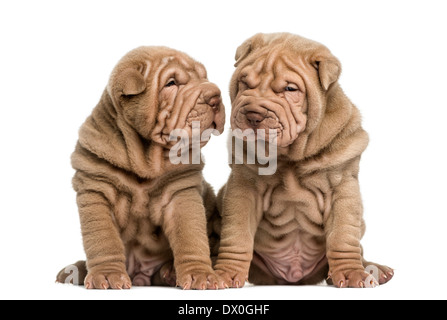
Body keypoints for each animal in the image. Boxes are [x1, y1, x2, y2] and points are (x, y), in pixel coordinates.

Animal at [57, 47, 226, 290]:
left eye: (204, 77)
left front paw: (200, 275)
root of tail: (140, 275)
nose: (216, 96)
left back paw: (170, 272)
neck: (144, 159)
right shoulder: (96, 190)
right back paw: (75, 270)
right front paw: (107, 275)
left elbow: (191, 237)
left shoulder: (181, 193)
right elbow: (103, 240)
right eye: (171, 83)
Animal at [215, 33, 394, 288]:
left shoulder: (343, 188)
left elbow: (343, 235)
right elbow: (237, 234)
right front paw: (226, 273)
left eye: (290, 89)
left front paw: (351, 273)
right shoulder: (244, 188)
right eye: (245, 83)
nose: (253, 115)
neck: (291, 156)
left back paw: (374, 269)